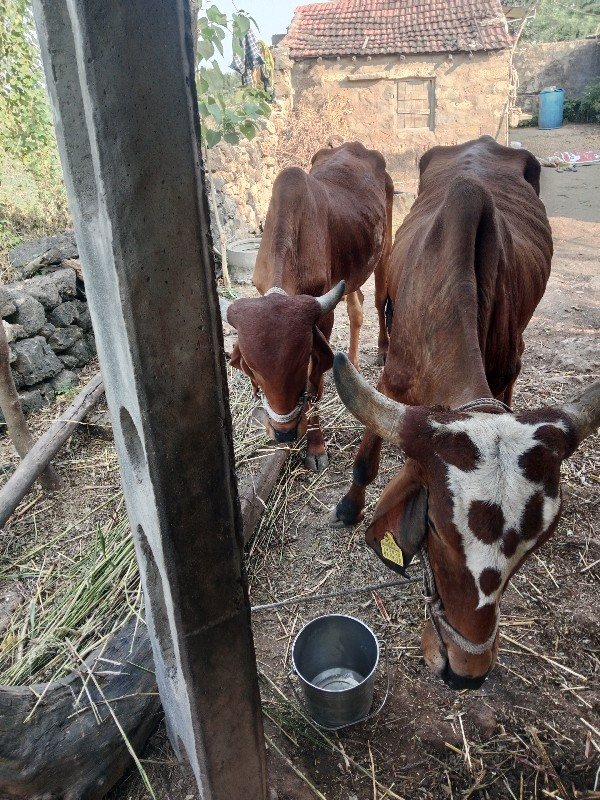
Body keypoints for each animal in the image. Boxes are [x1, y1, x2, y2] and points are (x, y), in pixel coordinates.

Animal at [225, 142, 394, 468]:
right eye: (251, 367)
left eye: (302, 359)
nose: (284, 433)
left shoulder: (322, 320)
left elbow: (315, 385)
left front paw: (315, 447)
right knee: (356, 307)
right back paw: (351, 362)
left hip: (384, 249)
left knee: (380, 300)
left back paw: (381, 350)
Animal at [330, 136, 596, 688]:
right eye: (433, 527)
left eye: (534, 547)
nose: (466, 671)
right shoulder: (390, 380)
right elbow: (366, 458)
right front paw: (348, 505)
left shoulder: (507, 371)